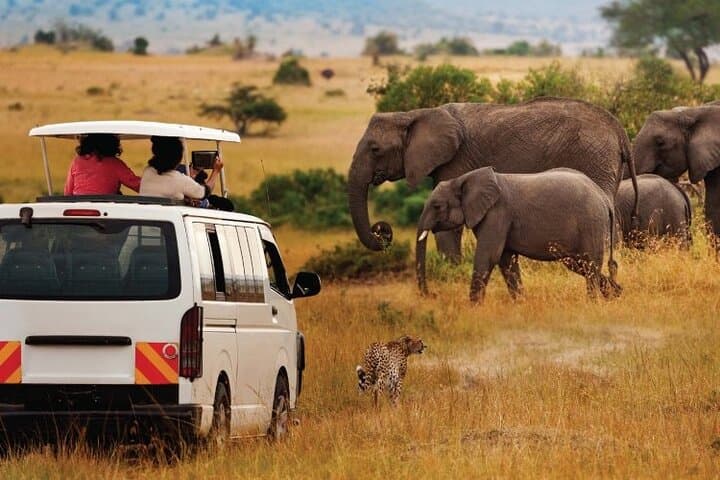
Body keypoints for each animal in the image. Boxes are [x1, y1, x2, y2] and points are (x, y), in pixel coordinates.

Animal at [348, 97, 639, 261]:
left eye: (375, 149)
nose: (382, 229)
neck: (414, 114)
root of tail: (619, 130)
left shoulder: (457, 161)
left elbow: (449, 227)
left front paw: (451, 272)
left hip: (592, 157)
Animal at [415, 167, 621, 303]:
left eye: (437, 206)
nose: (431, 295)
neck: (463, 179)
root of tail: (604, 198)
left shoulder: (497, 213)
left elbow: (489, 256)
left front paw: (473, 308)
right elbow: (506, 260)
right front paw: (520, 303)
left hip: (591, 223)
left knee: (589, 264)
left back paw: (593, 302)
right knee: (580, 264)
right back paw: (616, 294)